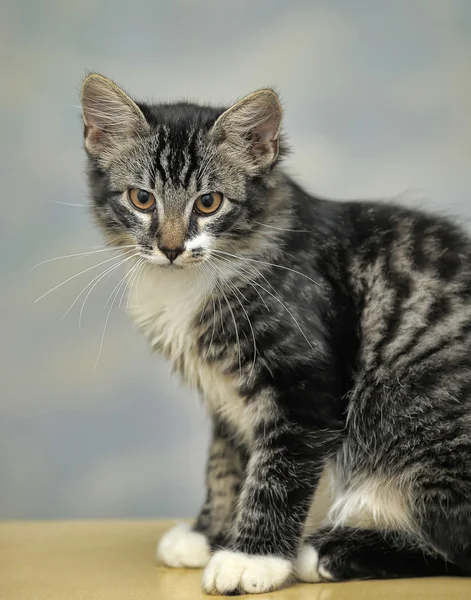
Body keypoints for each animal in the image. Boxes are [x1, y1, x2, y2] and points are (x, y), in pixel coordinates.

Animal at [80, 72, 471, 592]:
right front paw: (209, 534)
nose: (170, 248)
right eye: (142, 199)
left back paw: (329, 551)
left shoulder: (303, 385)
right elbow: (225, 463)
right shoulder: (226, 397)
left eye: (208, 203)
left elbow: (277, 472)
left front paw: (252, 557)